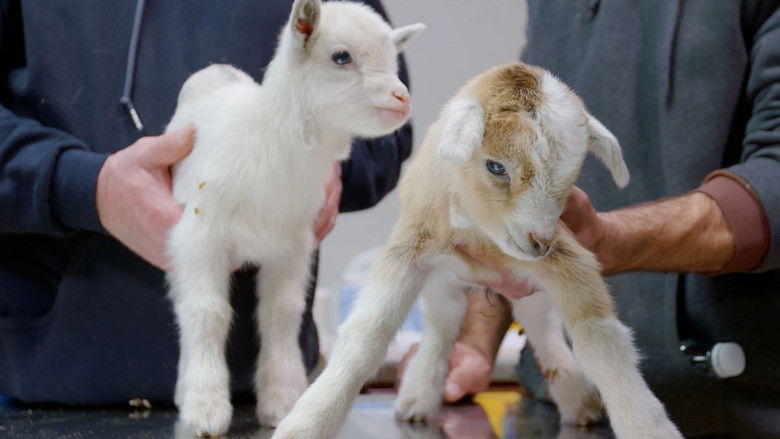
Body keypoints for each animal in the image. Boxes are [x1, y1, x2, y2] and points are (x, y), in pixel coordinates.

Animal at [273, 63, 683, 439]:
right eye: (496, 166)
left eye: (571, 177)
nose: (541, 242)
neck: (480, 232)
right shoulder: (410, 250)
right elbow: (366, 335)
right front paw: (306, 423)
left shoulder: (568, 260)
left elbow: (602, 342)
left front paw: (648, 427)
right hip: (444, 282)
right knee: (443, 325)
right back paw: (419, 394)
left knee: (541, 325)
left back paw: (576, 397)